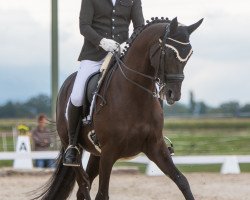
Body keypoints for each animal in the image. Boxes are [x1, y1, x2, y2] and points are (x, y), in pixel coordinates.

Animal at [35, 17, 203, 200]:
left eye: (189, 55)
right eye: (170, 53)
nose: (174, 94)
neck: (135, 95)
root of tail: (66, 84)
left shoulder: (156, 147)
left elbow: (182, 181)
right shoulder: (109, 152)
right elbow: (102, 194)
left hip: (96, 155)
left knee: (82, 189)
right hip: (73, 146)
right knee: (83, 183)